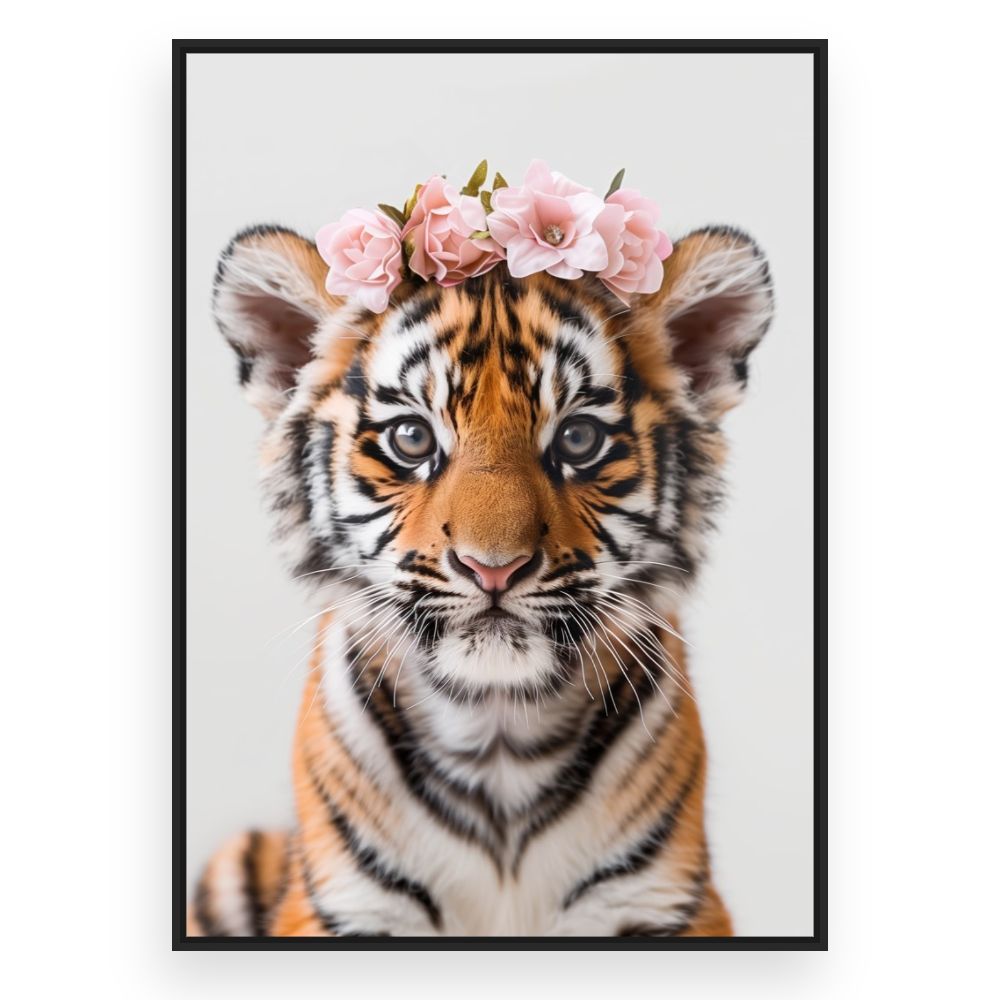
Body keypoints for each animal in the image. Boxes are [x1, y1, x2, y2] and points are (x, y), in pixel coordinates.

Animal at [188, 219, 774, 938]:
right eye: (412, 438)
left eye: (578, 440)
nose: (493, 566)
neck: (497, 733)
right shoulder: (343, 906)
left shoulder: (662, 901)